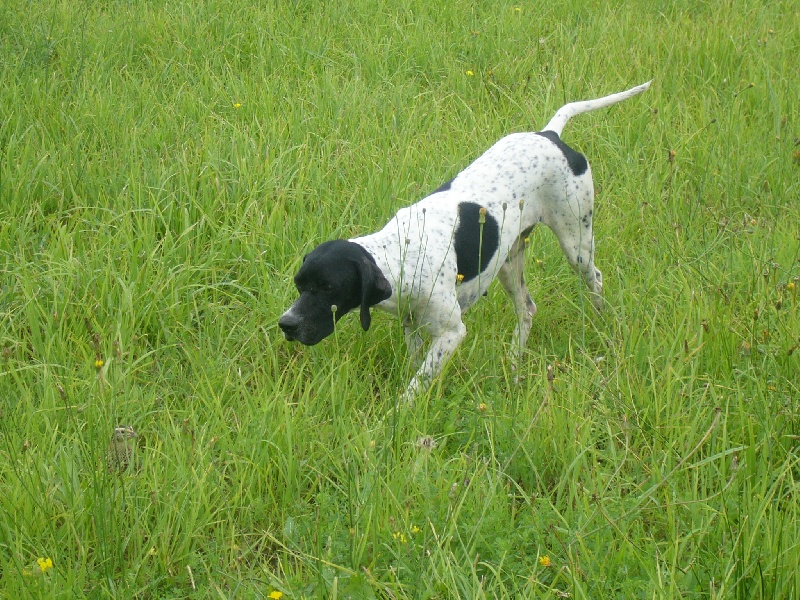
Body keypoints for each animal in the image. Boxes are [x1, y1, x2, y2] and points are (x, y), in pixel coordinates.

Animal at [280, 81, 648, 398]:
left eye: (328, 287)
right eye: (299, 285)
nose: (286, 324)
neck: (399, 254)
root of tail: (549, 134)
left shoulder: (451, 333)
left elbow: (415, 385)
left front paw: (398, 417)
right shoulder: (412, 327)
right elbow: (415, 367)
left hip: (576, 244)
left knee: (594, 279)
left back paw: (601, 325)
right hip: (508, 261)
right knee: (527, 310)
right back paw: (513, 365)